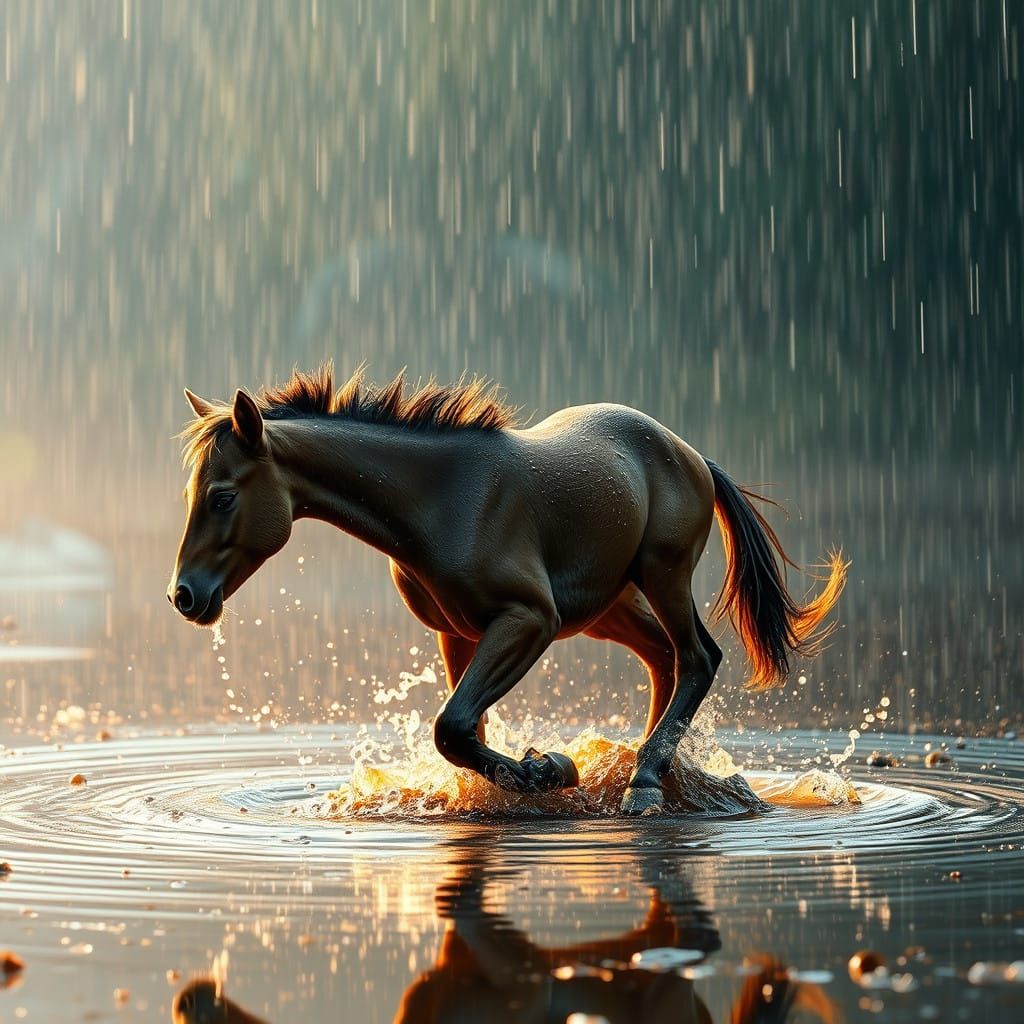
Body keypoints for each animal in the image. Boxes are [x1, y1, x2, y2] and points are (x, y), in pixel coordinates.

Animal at [168, 364, 847, 815]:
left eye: (222, 496)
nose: (184, 596)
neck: (440, 498)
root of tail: (693, 455)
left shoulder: (529, 620)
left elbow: (452, 726)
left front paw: (552, 769)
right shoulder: (457, 634)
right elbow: (467, 730)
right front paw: (527, 776)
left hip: (663, 574)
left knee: (698, 656)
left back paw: (645, 782)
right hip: (611, 607)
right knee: (666, 660)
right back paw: (650, 771)